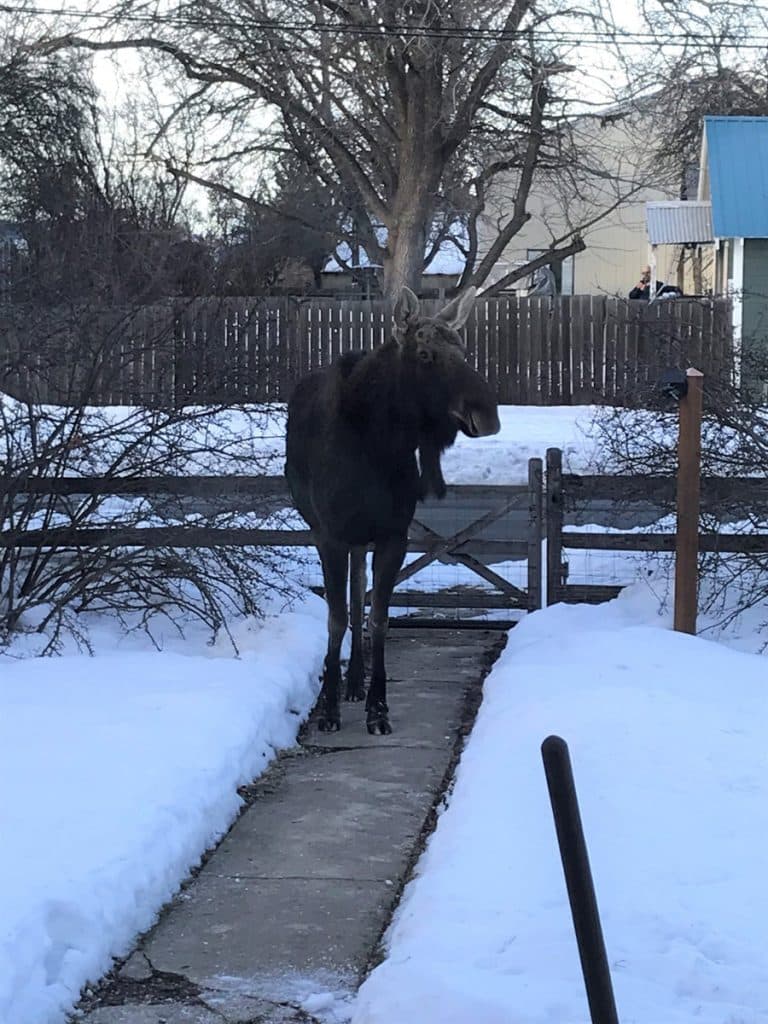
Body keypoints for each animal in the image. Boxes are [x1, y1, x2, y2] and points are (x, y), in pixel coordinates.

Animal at [285, 286, 500, 735]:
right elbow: (335, 617)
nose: (486, 415)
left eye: (463, 349)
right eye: (425, 354)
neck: (378, 444)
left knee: (358, 591)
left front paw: (377, 706)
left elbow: (379, 616)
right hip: (334, 532)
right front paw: (328, 708)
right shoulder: (330, 535)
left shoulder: (392, 535)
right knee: (349, 598)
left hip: (362, 539)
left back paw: (355, 680)